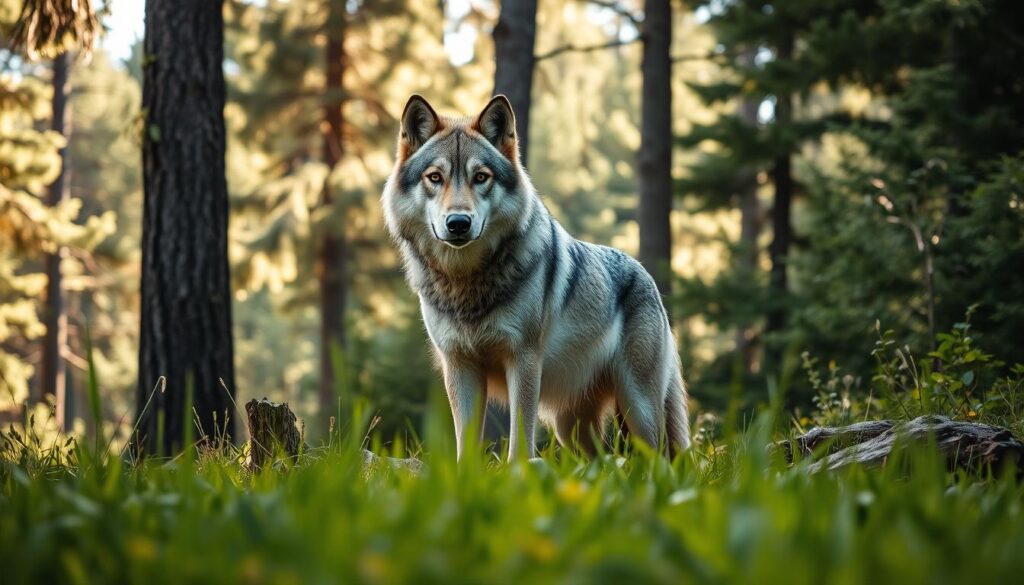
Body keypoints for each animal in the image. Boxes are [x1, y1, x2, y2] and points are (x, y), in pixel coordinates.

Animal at [382, 94, 690, 461]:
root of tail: (645, 274)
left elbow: (520, 440)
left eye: (481, 177)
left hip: (638, 410)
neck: (466, 281)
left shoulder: (524, 361)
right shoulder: (459, 366)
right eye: (434, 177)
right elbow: (464, 444)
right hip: (571, 428)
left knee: (659, 459)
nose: (458, 223)